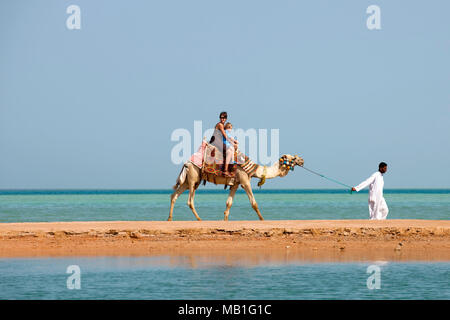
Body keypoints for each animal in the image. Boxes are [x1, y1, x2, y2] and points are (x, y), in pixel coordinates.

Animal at [170, 154, 306, 221]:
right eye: (293, 158)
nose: (302, 160)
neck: (253, 170)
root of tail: (186, 163)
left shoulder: (235, 183)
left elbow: (229, 203)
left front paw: (225, 220)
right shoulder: (245, 181)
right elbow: (254, 203)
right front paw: (262, 219)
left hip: (188, 180)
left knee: (174, 195)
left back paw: (169, 218)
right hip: (193, 178)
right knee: (190, 201)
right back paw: (200, 219)